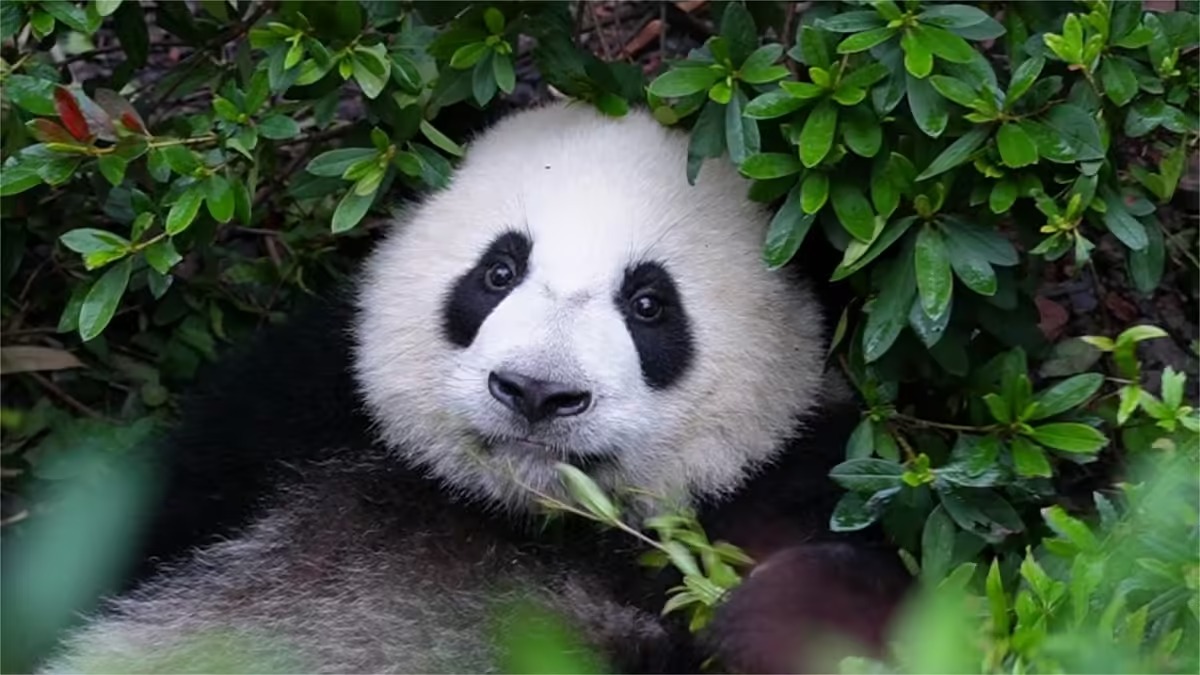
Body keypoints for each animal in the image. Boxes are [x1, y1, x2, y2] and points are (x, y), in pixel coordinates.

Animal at [37, 101, 911, 674]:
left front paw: (788, 606)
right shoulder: (284, 422)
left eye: (649, 303)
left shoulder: (795, 474)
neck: (528, 516)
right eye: (498, 271)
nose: (535, 391)